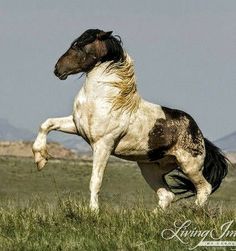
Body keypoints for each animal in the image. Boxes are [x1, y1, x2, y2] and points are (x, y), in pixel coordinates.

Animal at [32, 28, 228, 211]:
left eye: (79, 45)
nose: (57, 69)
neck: (104, 99)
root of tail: (199, 133)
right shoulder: (77, 127)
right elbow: (47, 124)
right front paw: (40, 160)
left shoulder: (103, 145)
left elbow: (95, 181)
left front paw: (93, 211)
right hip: (150, 169)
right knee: (167, 195)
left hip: (190, 165)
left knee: (204, 188)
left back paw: (193, 212)